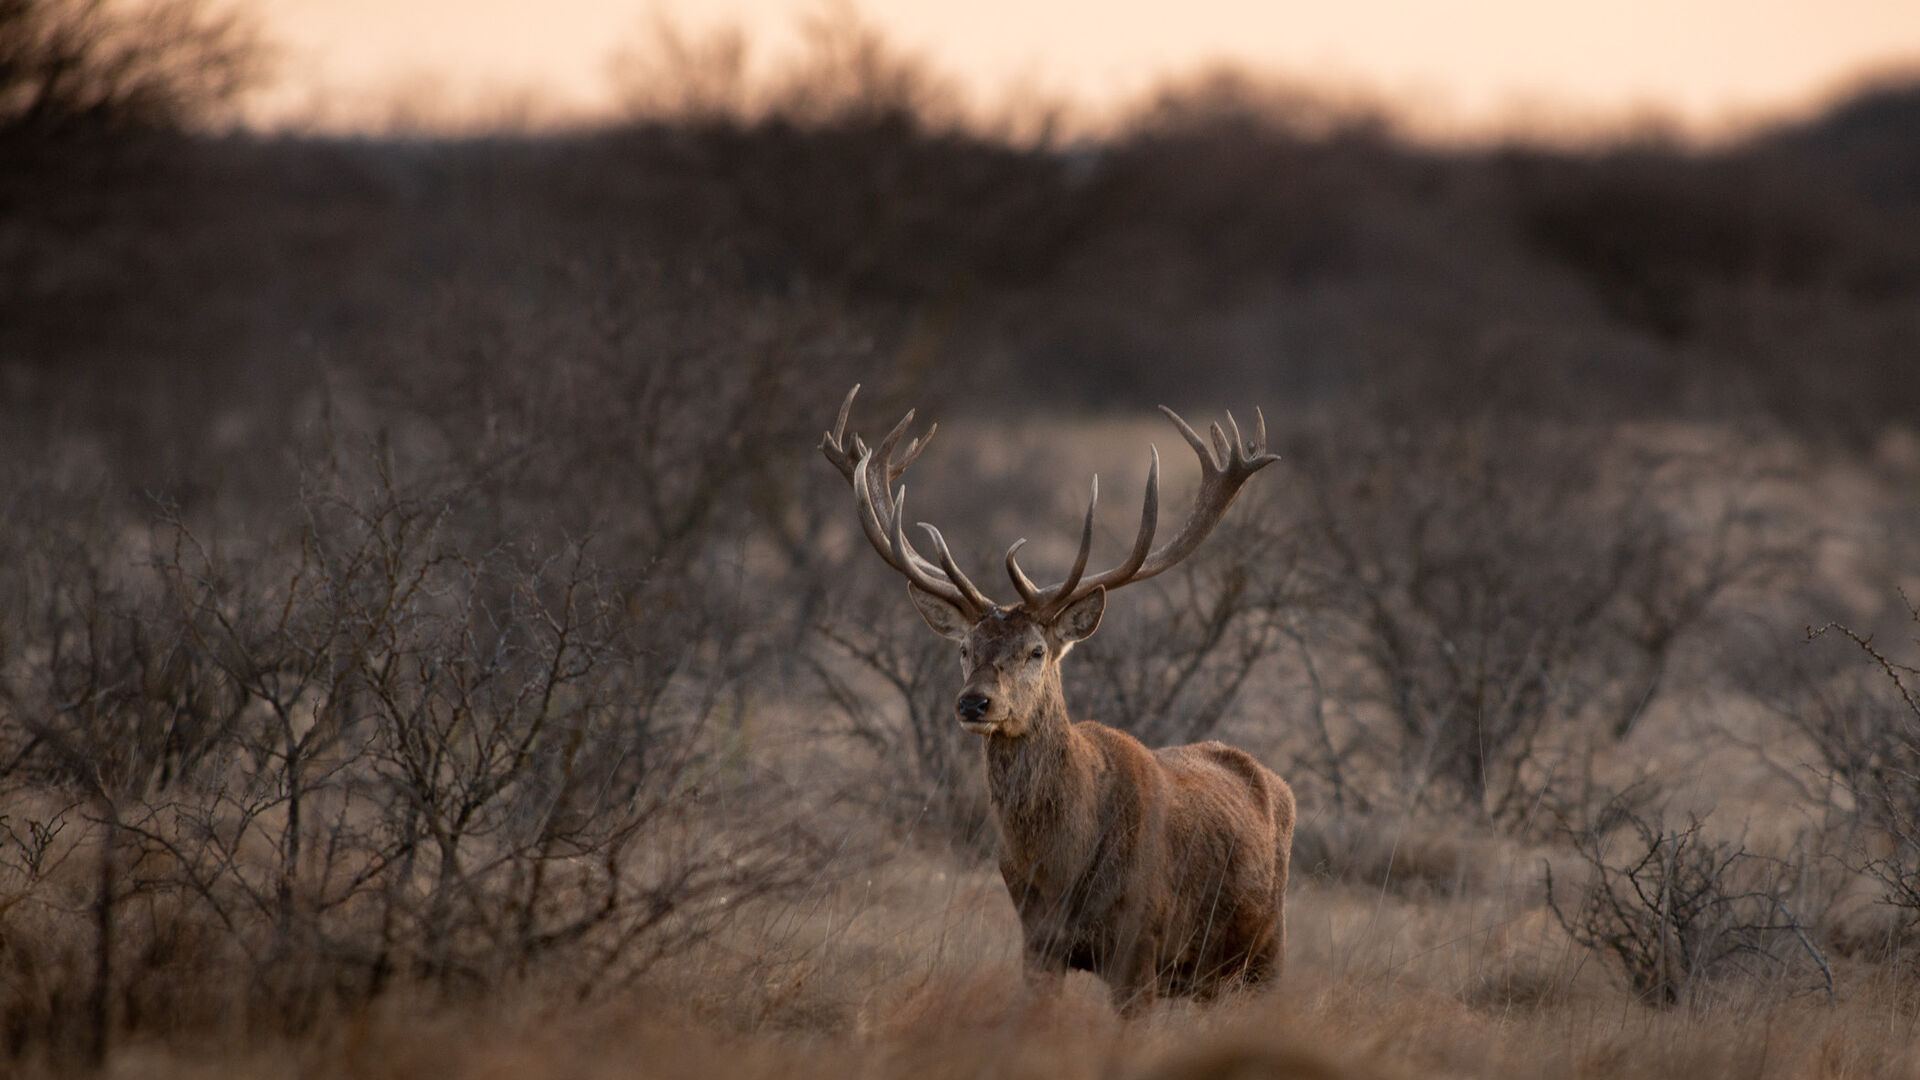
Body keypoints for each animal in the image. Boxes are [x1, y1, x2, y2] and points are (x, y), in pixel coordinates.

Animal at [820, 385, 1295, 1015]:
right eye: (965, 648)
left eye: (1036, 649)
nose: (975, 704)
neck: (1060, 867)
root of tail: (1274, 782)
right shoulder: (1037, 944)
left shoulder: (1140, 946)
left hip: (1267, 950)